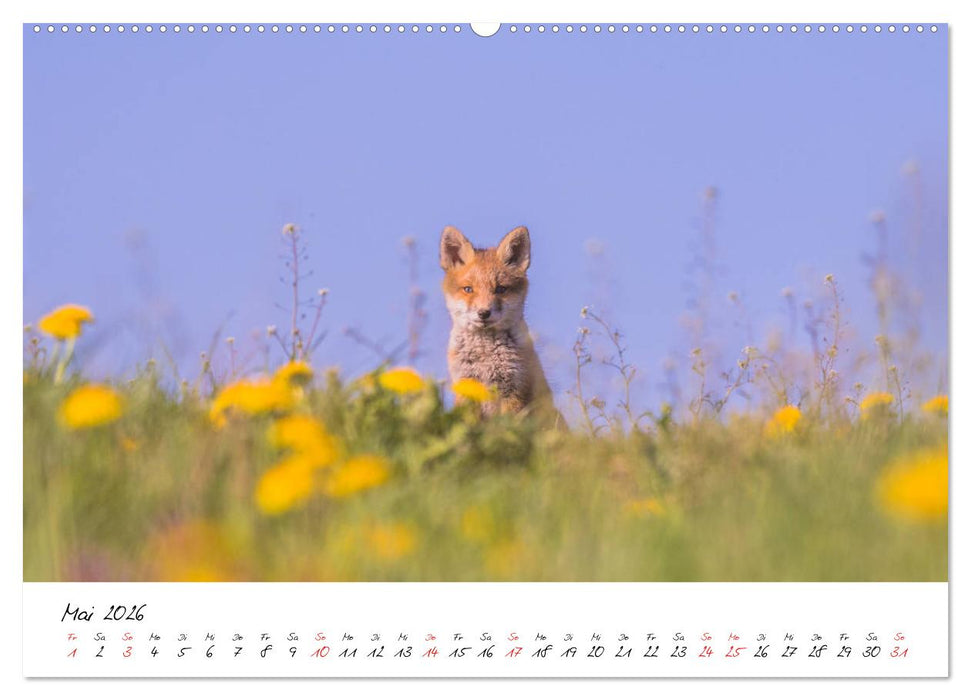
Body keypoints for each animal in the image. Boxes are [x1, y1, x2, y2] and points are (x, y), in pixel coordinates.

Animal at [440, 225, 561, 424]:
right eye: (468, 289)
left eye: (500, 289)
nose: (483, 313)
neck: (485, 355)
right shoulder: (466, 386)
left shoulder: (513, 390)